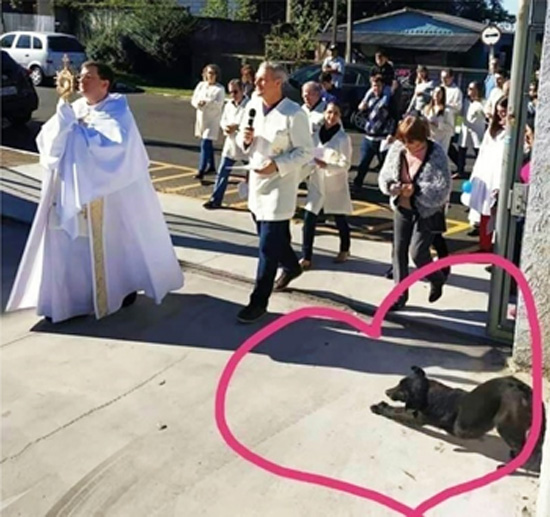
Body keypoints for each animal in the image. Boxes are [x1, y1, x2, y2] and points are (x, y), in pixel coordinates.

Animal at [370, 364, 548, 470]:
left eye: (402, 391)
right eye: (399, 383)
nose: (387, 392)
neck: (428, 392)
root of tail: (526, 391)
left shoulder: (416, 416)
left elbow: (395, 411)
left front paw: (379, 408)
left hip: (506, 425)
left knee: (523, 448)